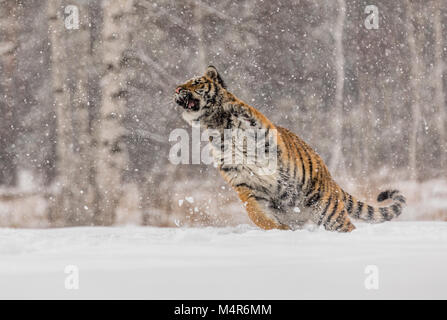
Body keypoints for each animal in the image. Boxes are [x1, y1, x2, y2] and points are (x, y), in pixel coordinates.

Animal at [175, 65, 406, 232]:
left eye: (196, 82)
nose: (177, 90)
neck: (215, 124)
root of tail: (330, 178)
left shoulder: (266, 134)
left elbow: (248, 111)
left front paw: (233, 105)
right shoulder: (245, 185)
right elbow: (257, 215)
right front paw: (279, 230)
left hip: (327, 209)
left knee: (347, 227)